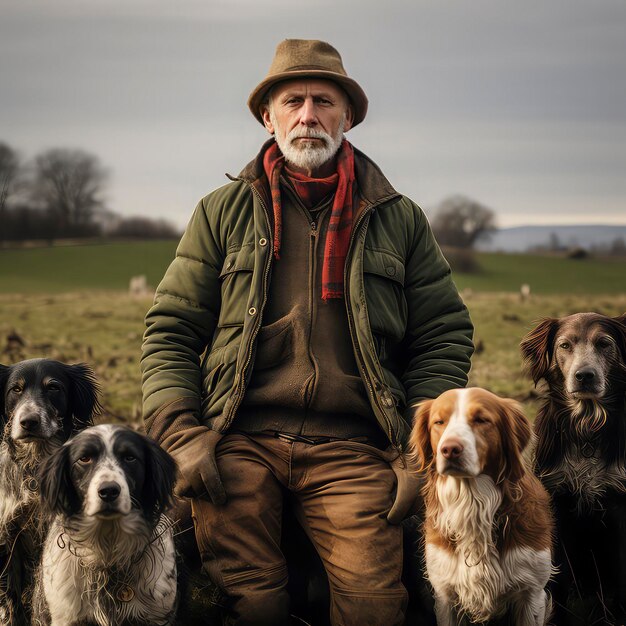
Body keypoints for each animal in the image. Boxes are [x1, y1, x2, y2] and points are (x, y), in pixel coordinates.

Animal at [410, 386, 552, 624]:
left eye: (481, 420)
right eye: (439, 422)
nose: (450, 449)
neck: (472, 503)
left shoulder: (531, 592)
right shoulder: (445, 593)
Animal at [516, 314, 624, 620]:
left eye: (604, 344)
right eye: (565, 345)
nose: (584, 376)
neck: (586, 427)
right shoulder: (557, 500)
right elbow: (559, 573)